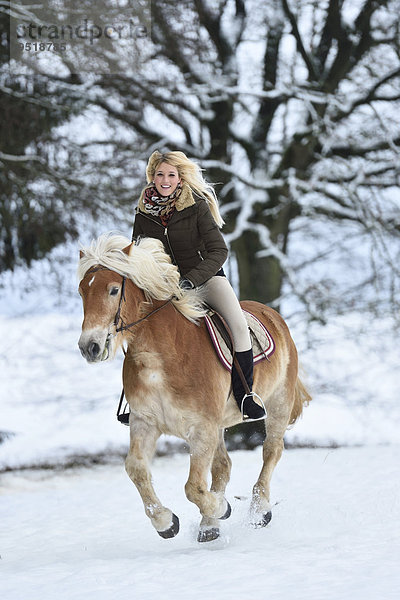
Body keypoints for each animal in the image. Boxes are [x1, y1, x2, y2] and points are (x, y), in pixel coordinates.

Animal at [76, 234, 310, 544]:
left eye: (114, 290)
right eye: (82, 292)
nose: (89, 347)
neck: (161, 357)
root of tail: (274, 314)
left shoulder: (201, 429)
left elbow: (193, 487)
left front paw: (220, 507)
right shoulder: (145, 422)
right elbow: (136, 469)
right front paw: (166, 522)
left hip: (277, 404)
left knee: (271, 451)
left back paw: (259, 511)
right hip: (220, 424)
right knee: (223, 466)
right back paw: (210, 526)